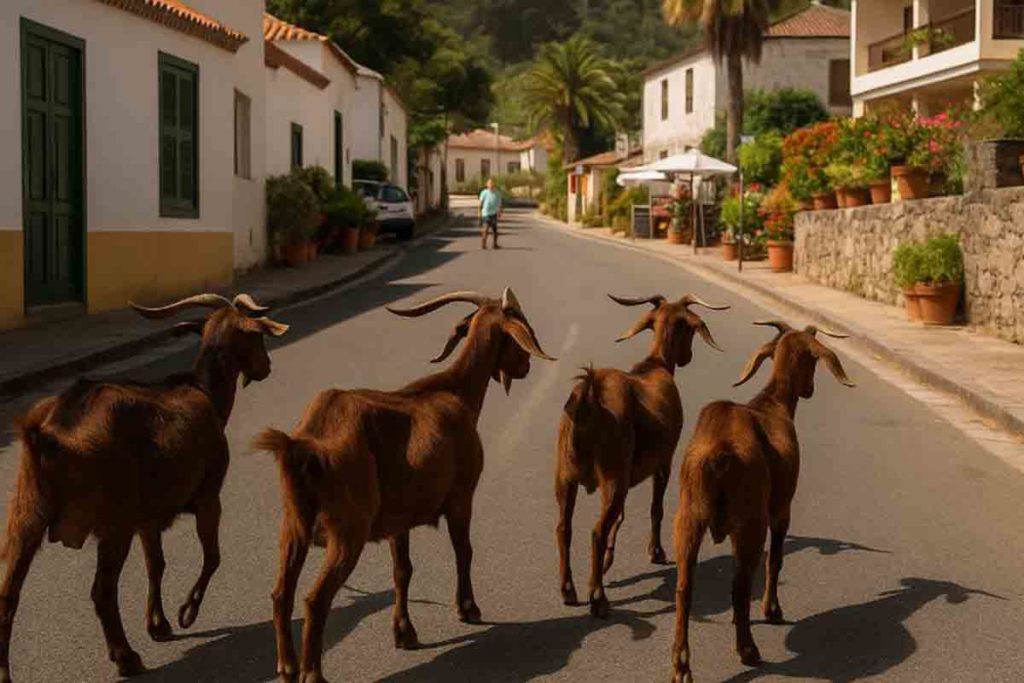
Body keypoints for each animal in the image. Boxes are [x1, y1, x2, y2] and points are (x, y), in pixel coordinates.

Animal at [0, 293, 288, 682]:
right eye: (257, 336)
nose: (266, 366)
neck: (205, 392)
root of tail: (51, 432)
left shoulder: (147, 517)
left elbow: (157, 564)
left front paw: (158, 624)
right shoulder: (208, 495)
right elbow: (212, 557)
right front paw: (186, 612)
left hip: (26, 512)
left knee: (8, 595)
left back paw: (5, 672)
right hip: (113, 521)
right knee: (102, 590)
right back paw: (127, 657)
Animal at [253, 287, 554, 683]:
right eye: (522, 326)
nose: (526, 367)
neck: (454, 391)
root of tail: (304, 443)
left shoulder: (399, 519)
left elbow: (403, 570)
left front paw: (404, 632)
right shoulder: (462, 497)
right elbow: (464, 551)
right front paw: (468, 608)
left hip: (293, 523)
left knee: (280, 594)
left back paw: (287, 667)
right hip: (348, 530)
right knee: (315, 599)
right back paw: (312, 673)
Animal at [556, 293, 729, 618]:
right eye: (690, 330)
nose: (686, 357)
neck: (654, 366)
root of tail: (589, 398)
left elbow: (621, 516)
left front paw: (609, 561)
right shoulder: (664, 461)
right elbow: (655, 508)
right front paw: (656, 552)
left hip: (566, 476)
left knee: (564, 528)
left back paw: (568, 590)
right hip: (612, 476)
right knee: (596, 531)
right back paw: (598, 598)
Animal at [670, 321, 855, 683]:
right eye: (813, 361)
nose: (809, 389)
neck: (772, 404)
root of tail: (719, 453)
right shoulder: (781, 507)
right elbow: (776, 559)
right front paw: (772, 610)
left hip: (689, 517)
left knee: (685, 587)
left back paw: (681, 666)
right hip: (750, 523)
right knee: (740, 584)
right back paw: (748, 650)